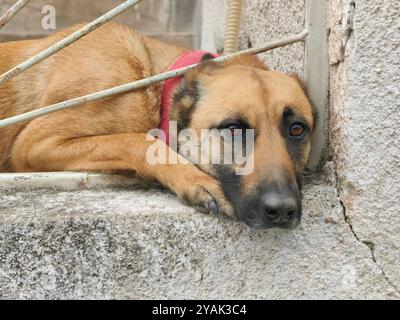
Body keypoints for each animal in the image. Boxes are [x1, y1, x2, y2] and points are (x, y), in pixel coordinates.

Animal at [0, 22, 316, 229]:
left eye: (297, 129)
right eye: (233, 129)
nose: (283, 211)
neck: (152, 82)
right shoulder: (34, 145)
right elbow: (139, 140)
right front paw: (194, 180)